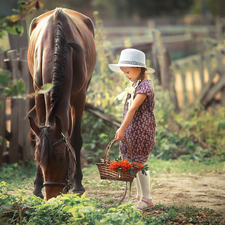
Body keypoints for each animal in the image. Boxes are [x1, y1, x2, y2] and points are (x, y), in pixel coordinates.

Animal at [27, 7, 96, 200]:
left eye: (61, 158)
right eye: (38, 159)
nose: (52, 196)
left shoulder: (79, 96)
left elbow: (75, 139)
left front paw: (78, 185)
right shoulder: (39, 93)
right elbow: (39, 136)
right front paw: (37, 187)